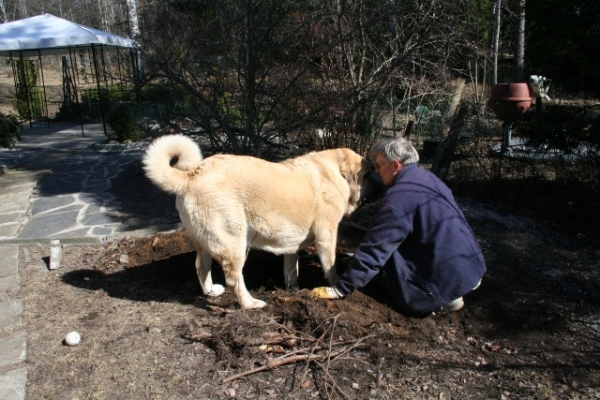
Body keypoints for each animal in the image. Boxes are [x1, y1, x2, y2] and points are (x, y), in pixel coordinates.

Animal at [143, 134, 372, 310]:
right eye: (368, 175)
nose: (376, 184)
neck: (335, 170)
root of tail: (191, 175)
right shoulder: (326, 236)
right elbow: (331, 268)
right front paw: (336, 287)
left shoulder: (291, 246)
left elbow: (291, 270)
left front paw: (294, 291)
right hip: (234, 243)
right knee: (233, 279)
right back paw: (250, 304)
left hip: (204, 242)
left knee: (201, 266)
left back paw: (211, 292)